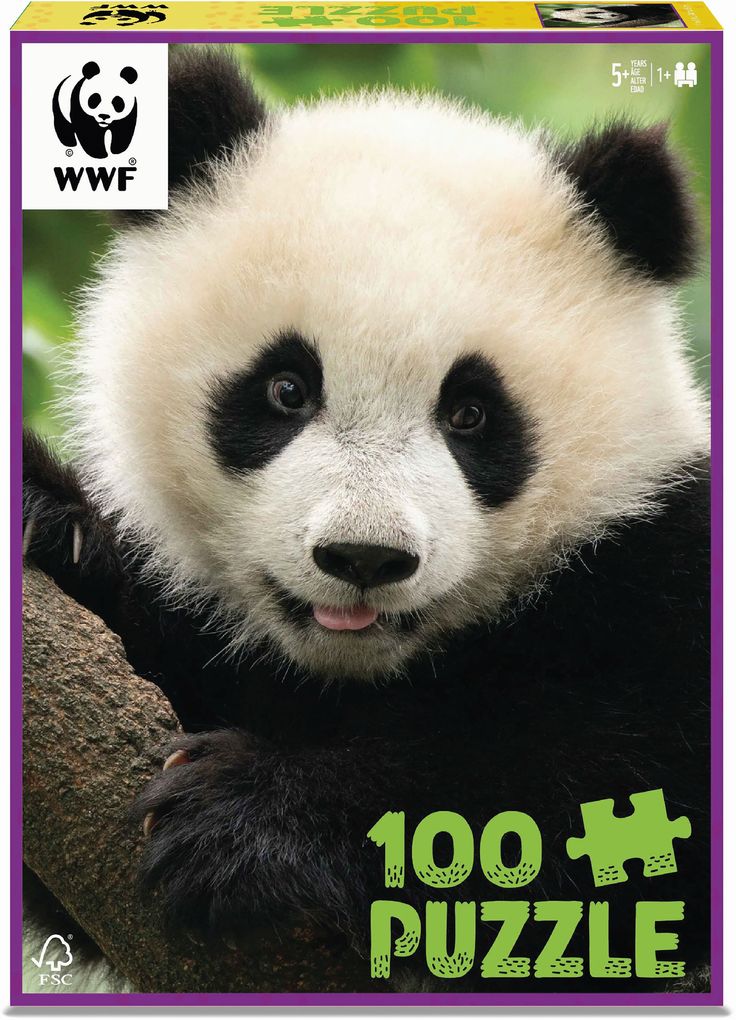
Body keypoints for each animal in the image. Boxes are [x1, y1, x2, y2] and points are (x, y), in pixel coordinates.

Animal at [24, 48, 710, 992]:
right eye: (285, 388)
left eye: (471, 414)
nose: (363, 558)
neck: (354, 672)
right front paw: (53, 523)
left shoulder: (663, 566)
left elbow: (597, 789)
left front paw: (247, 823)